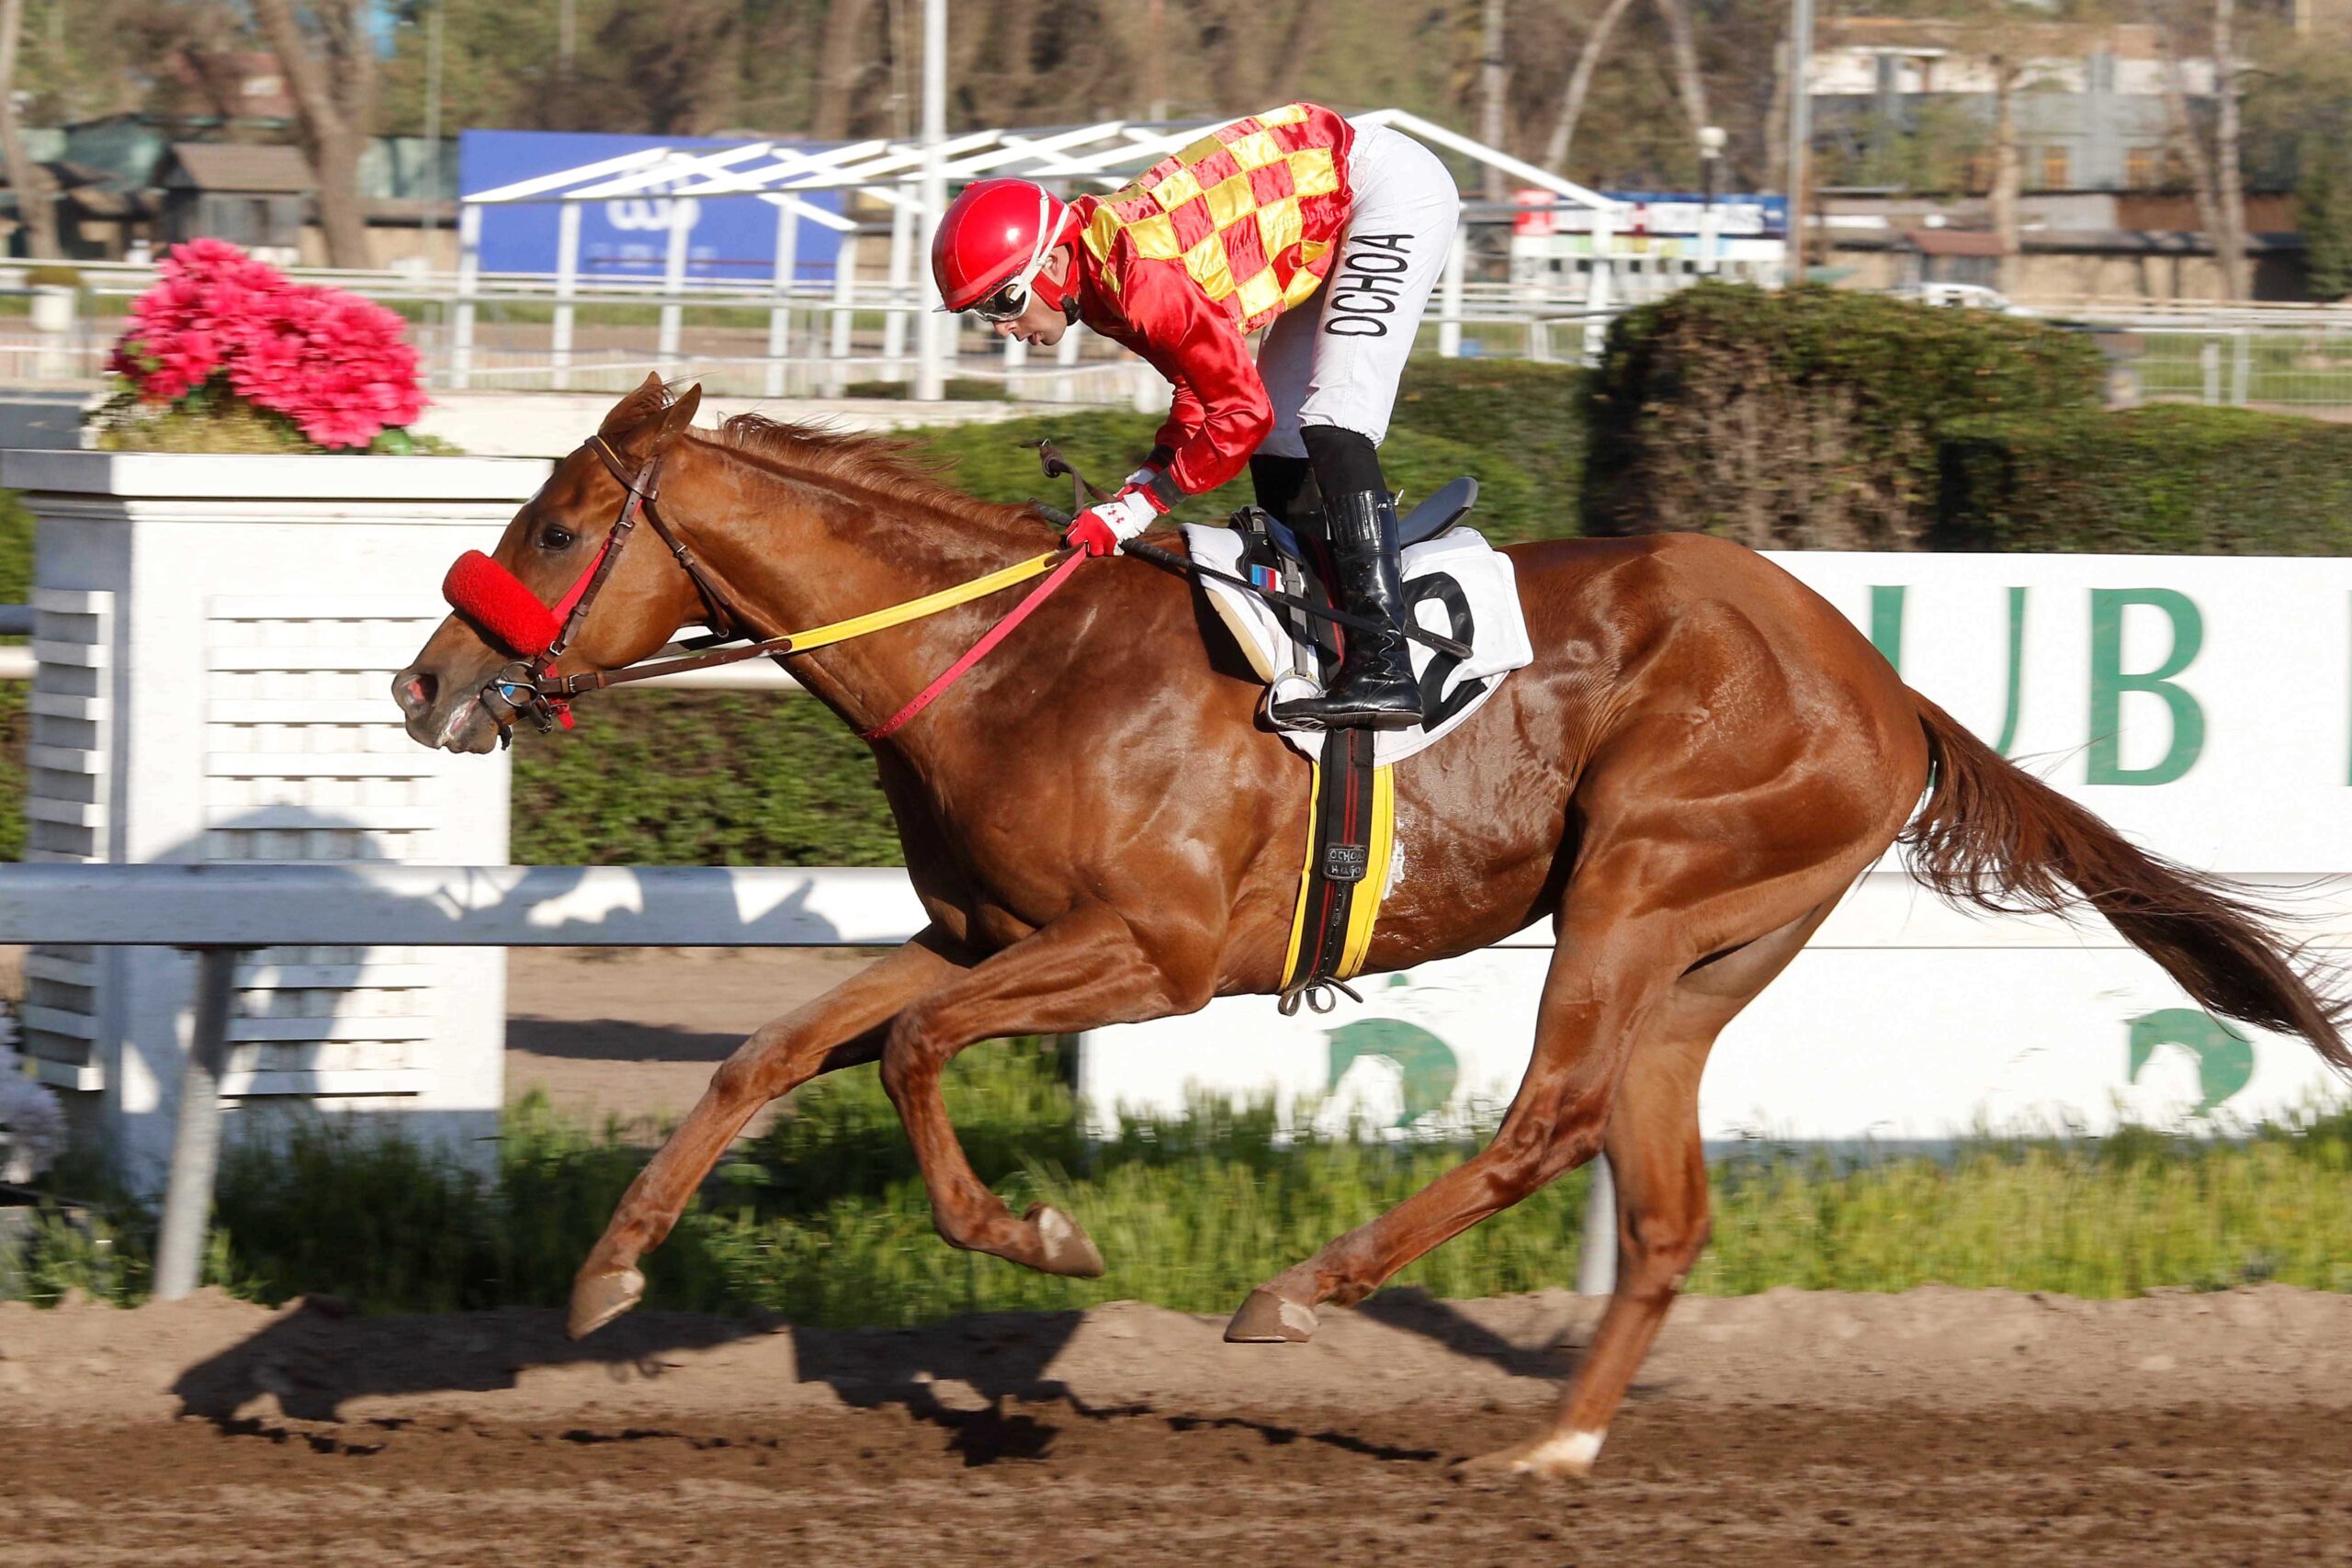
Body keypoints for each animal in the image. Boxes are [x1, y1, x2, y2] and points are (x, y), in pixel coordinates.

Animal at [394, 375, 2347, 1477]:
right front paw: (610, 1265)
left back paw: (1298, 1292)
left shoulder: (1156, 954)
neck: (1021, 661)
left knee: (1546, 1119)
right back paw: (1553, 1444)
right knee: (1660, 1202)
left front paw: (1035, 1234)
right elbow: (774, 1047)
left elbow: (922, 1059)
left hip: (1641, 880)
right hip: (1710, 953)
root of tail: (1883, 681)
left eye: (555, 524)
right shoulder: (973, 929)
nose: (425, 683)